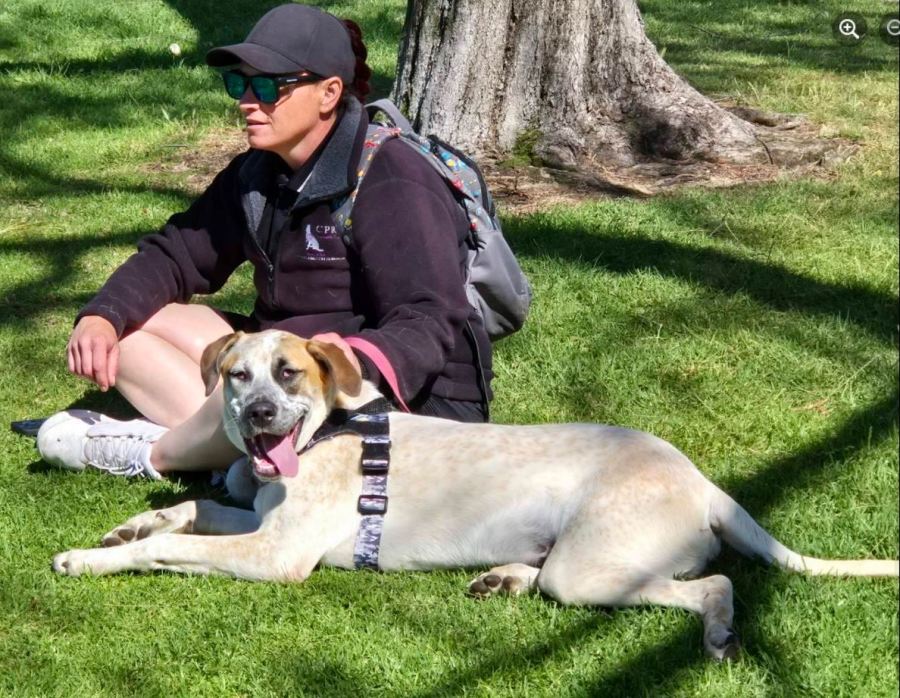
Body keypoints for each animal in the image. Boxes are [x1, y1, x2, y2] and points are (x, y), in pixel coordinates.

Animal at [52, 330, 899, 659]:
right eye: (237, 376)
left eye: (288, 374)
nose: (259, 416)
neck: (325, 435)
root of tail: (704, 482)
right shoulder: (254, 521)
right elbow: (188, 510)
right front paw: (127, 526)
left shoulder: (277, 555)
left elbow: (174, 544)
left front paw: (87, 559)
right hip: (581, 564)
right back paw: (503, 579)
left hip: (592, 571)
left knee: (714, 582)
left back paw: (719, 633)